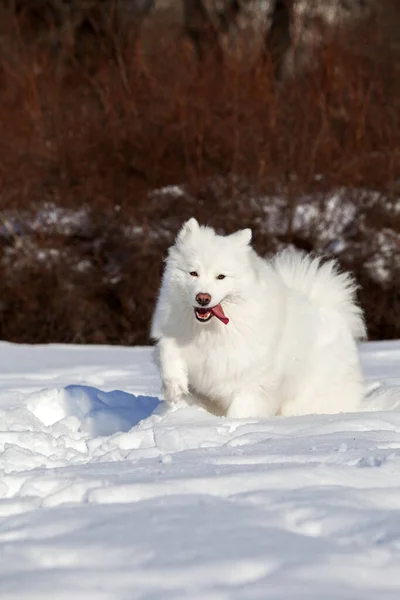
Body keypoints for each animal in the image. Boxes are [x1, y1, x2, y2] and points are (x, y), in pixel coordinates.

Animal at [152, 218, 368, 420]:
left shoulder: (251, 382)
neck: (210, 330)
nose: (202, 298)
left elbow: (240, 411)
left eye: (221, 277)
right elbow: (167, 350)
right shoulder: (176, 334)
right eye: (193, 273)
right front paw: (174, 387)